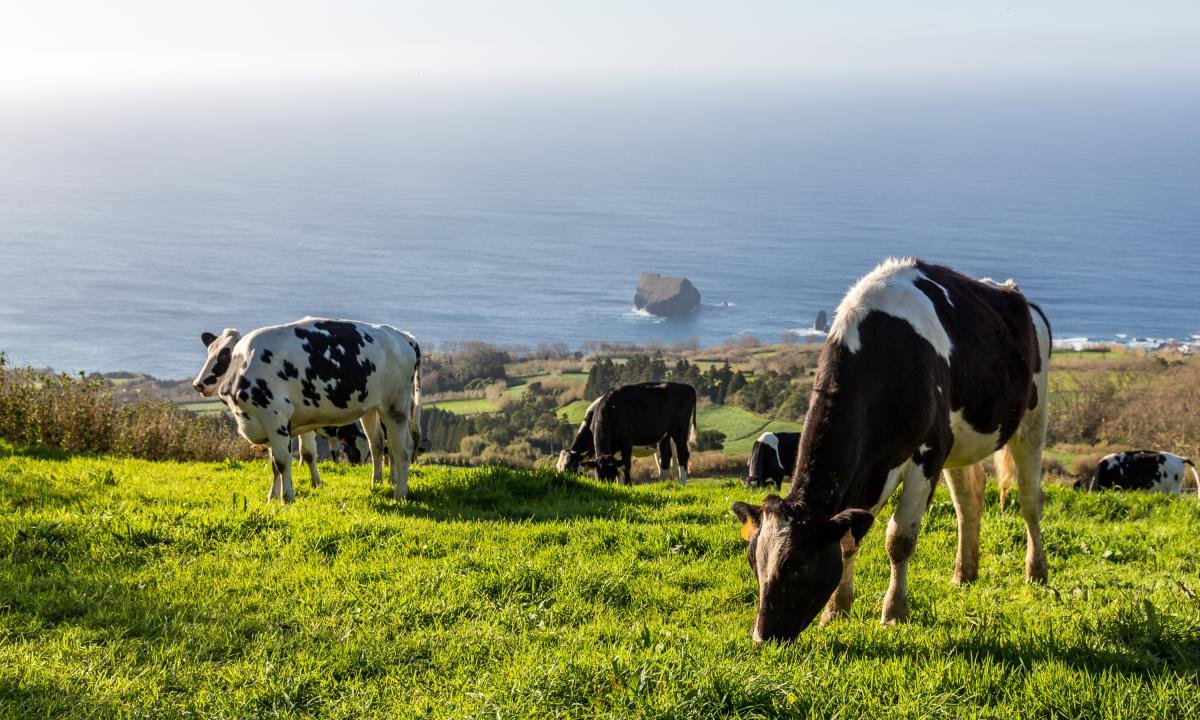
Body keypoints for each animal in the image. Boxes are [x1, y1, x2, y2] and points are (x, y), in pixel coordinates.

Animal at [192, 316, 422, 504]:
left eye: (225, 355)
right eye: (210, 351)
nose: (197, 385)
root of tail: (404, 337)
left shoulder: (276, 417)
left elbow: (283, 462)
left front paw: (287, 498)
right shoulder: (267, 425)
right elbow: (274, 464)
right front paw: (271, 497)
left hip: (396, 407)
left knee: (401, 450)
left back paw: (399, 495)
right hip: (372, 408)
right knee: (378, 444)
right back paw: (377, 484)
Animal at [724, 259, 1046, 643]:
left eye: (798, 566)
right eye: (752, 561)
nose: (762, 636)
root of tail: (1015, 294)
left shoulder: (927, 454)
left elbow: (900, 538)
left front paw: (894, 612)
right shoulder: (874, 468)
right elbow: (849, 539)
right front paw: (836, 610)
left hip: (1032, 418)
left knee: (1030, 499)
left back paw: (1036, 572)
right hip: (960, 440)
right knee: (969, 500)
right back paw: (964, 573)